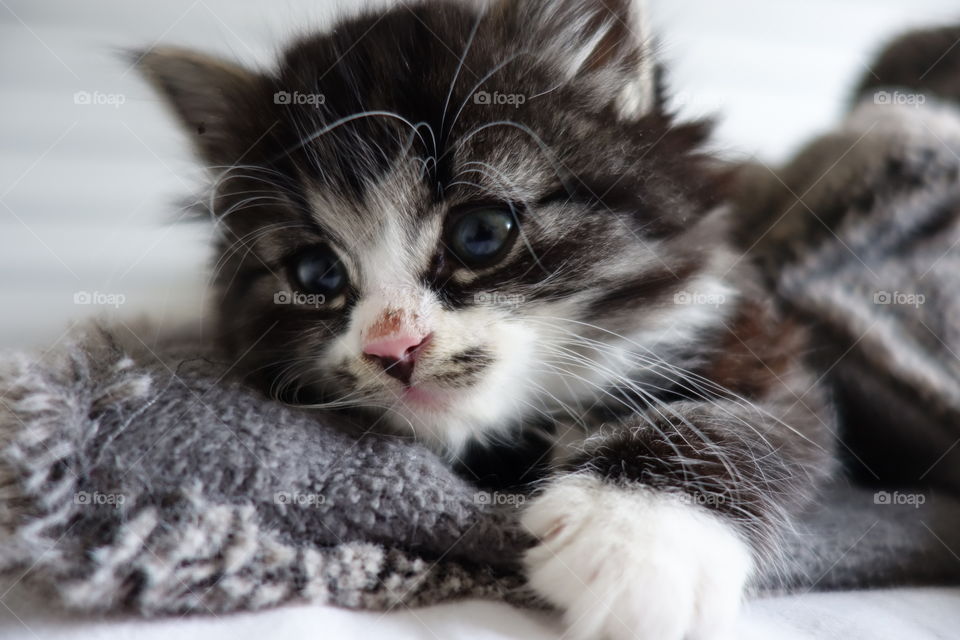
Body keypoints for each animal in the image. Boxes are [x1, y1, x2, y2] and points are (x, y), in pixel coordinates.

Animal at [139, 2, 836, 636]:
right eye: (317, 275)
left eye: (480, 233)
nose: (393, 346)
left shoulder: (754, 332)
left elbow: (731, 417)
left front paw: (637, 544)